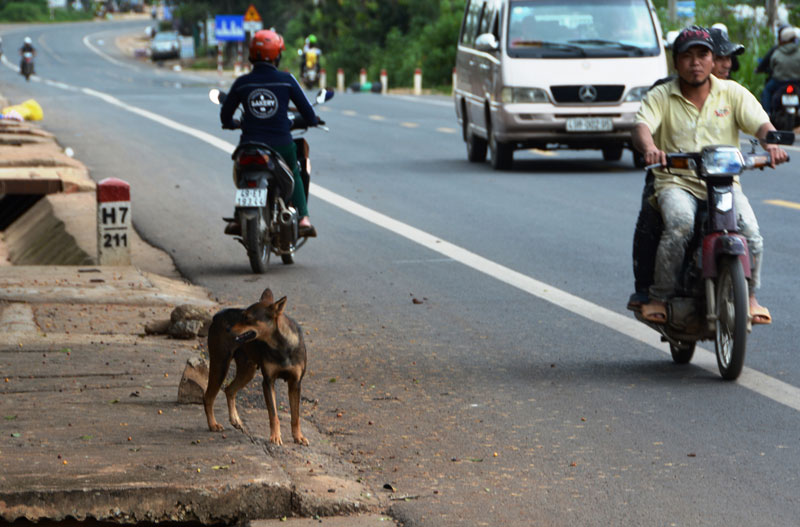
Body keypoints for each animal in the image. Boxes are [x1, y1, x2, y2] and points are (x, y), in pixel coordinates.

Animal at [203, 288, 310, 446]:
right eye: (242, 315)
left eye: (247, 318)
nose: (228, 328)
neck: (281, 345)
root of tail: (217, 316)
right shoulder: (268, 382)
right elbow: (273, 414)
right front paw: (275, 437)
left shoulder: (295, 383)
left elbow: (295, 416)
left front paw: (298, 437)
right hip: (220, 364)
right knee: (208, 397)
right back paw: (213, 424)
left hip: (247, 371)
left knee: (229, 390)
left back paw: (235, 420)